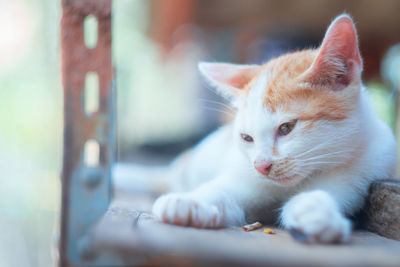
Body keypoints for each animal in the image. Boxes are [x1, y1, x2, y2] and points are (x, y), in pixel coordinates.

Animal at [151, 15, 396, 245]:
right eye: (246, 137)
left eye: (286, 127)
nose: (261, 166)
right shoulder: (243, 178)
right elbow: (221, 191)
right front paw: (190, 202)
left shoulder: (362, 170)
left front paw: (316, 214)